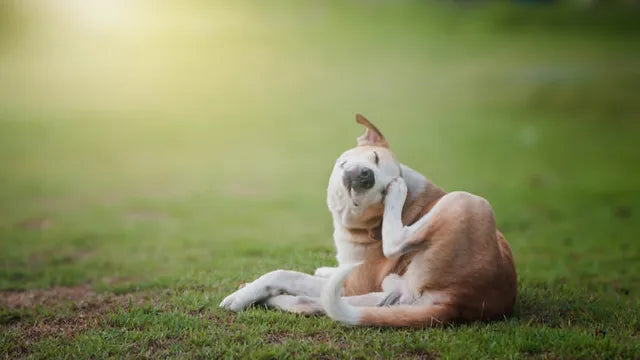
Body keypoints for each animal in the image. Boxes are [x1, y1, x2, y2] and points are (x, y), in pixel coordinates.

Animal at [220, 114, 516, 326]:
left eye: (381, 192)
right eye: (373, 157)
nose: (366, 176)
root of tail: (460, 303)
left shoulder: (353, 283)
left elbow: (283, 273)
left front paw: (240, 297)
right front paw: (324, 269)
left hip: (468, 200)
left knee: (394, 244)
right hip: (387, 295)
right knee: (323, 303)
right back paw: (279, 302)